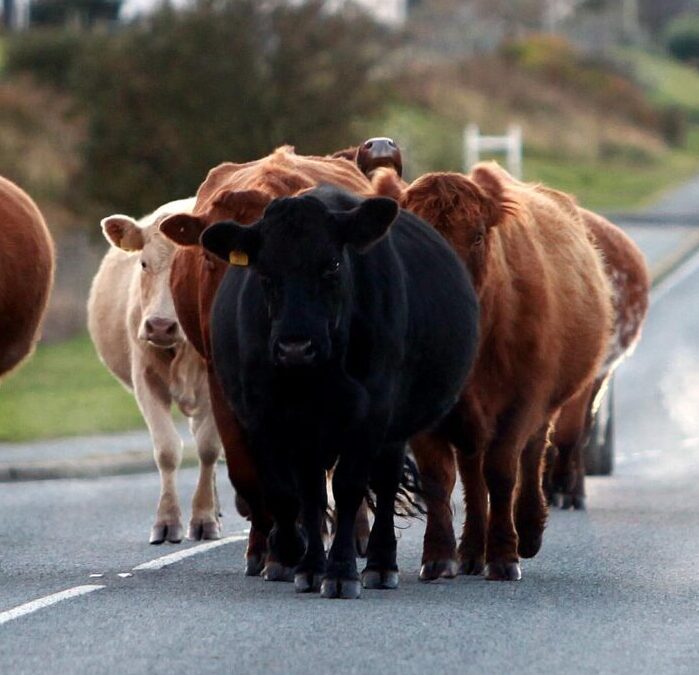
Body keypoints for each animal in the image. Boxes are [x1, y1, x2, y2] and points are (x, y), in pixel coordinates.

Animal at [87, 199, 223, 544]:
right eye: (144, 264)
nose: (160, 326)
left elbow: (208, 447)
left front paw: (203, 518)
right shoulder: (145, 378)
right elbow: (167, 450)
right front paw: (167, 521)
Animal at [200, 186, 478, 604]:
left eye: (331, 264)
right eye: (264, 272)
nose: (295, 347)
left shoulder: (371, 412)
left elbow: (348, 488)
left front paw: (341, 572)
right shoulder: (272, 417)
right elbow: (296, 494)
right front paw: (300, 561)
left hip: (394, 428)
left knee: (383, 483)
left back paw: (381, 564)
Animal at [372, 164, 612, 580]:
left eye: (478, 235)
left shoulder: (521, 403)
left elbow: (502, 471)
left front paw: (503, 556)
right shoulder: (422, 409)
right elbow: (439, 477)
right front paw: (439, 556)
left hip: (544, 406)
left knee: (531, 456)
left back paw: (528, 532)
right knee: (472, 471)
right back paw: (471, 550)